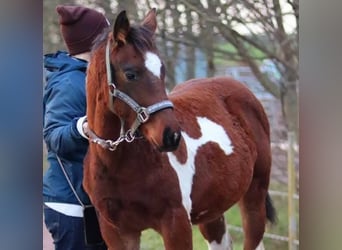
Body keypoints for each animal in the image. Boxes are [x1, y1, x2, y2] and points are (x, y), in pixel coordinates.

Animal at [84, 8, 276, 250]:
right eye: (130, 73)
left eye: (162, 70)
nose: (172, 136)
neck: (119, 165)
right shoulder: (118, 232)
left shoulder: (176, 223)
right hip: (213, 210)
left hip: (254, 196)